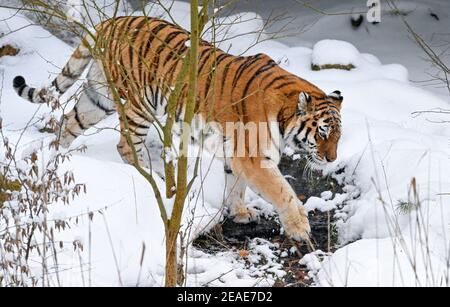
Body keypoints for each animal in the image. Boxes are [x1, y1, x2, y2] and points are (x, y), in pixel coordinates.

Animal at [13, 16, 344, 243]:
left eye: (338, 135)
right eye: (323, 132)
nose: (332, 159)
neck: (285, 115)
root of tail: (110, 21)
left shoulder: (235, 153)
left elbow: (235, 185)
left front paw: (240, 213)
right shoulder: (254, 157)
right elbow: (283, 191)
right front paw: (299, 228)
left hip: (98, 98)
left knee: (67, 124)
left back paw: (57, 161)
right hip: (140, 104)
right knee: (126, 146)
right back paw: (155, 177)